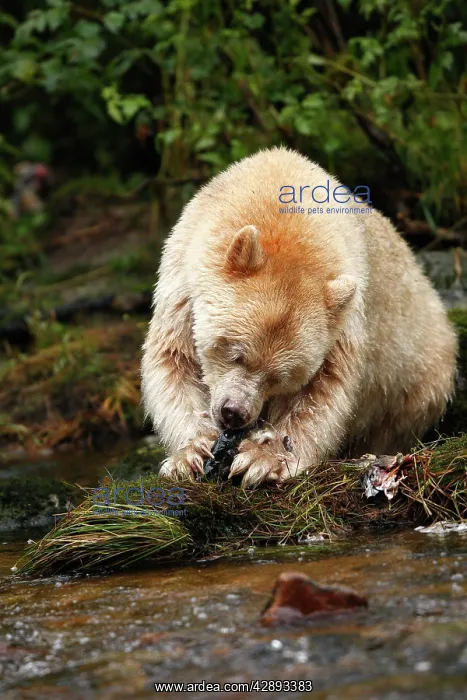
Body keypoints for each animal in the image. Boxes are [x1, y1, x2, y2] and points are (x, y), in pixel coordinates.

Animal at [141, 147, 457, 487]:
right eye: (235, 353)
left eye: (278, 378)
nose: (234, 412)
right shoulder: (182, 284)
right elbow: (174, 359)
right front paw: (191, 454)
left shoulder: (344, 317)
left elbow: (323, 390)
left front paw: (262, 459)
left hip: (415, 378)